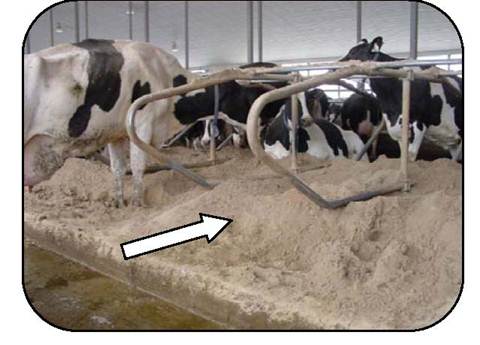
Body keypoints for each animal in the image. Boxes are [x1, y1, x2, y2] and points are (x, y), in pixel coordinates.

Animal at [23, 40, 206, 207]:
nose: (205, 142)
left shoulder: (115, 133)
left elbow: (118, 168)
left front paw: (120, 204)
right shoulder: (143, 123)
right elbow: (138, 165)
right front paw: (138, 204)